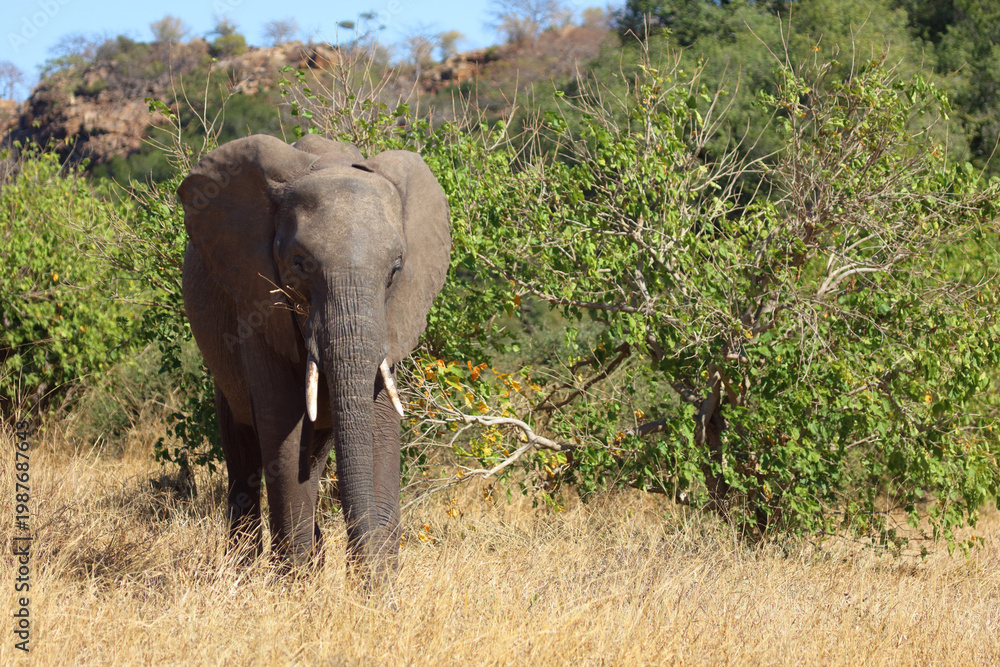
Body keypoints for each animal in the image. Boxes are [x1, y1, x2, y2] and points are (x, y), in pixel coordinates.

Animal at [178, 133, 450, 577]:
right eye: (300, 264)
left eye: (395, 269)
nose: (364, 579)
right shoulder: (255, 303)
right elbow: (283, 434)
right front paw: (294, 585)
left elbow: (378, 425)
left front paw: (378, 585)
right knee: (243, 452)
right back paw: (242, 571)